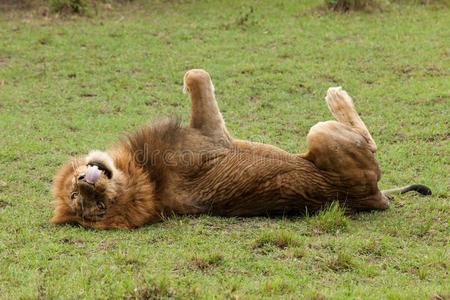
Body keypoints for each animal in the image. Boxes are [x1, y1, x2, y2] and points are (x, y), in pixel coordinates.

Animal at [50, 69, 432, 229]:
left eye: (75, 195)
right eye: (95, 205)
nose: (85, 182)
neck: (146, 179)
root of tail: (372, 198)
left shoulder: (214, 134)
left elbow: (195, 73)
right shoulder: (211, 133)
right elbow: (198, 76)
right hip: (321, 135)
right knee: (368, 140)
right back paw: (335, 95)